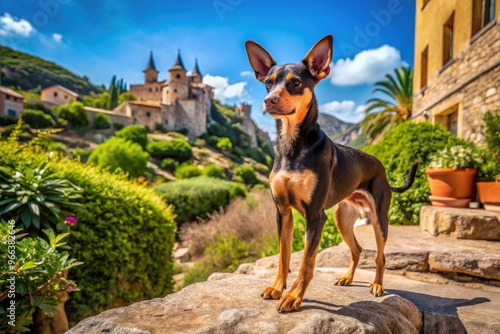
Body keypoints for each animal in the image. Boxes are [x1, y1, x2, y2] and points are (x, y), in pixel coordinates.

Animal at [245, 35, 418, 312]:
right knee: (357, 250)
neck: (292, 146)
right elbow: (284, 256)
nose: (269, 100)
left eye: (295, 82)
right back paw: (347, 277)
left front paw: (293, 296)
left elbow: (306, 263)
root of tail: (381, 167)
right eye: (267, 83)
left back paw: (377, 285)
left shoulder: (315, 216)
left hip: (379, 220)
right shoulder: (282, 212)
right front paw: (277, 287)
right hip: (342, 218)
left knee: (381, 256)